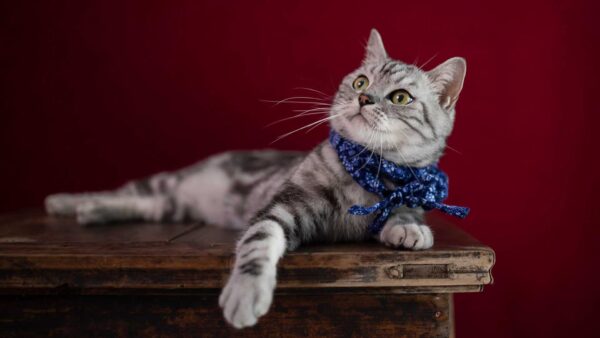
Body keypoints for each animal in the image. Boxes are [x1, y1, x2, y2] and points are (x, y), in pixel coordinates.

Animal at [45, 28, 468, 328]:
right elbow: (257, 242)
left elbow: (401, 212)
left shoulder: (405, 194)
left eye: (400, 98)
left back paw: (93, 212)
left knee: (144, 205)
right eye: (361, 82)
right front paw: (245, 293)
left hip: (169, 206)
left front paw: (409, 228)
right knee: (127, 190)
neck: (366, 171)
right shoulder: (283, 206)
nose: (363, 99)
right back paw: (67, 202)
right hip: (167, 184)